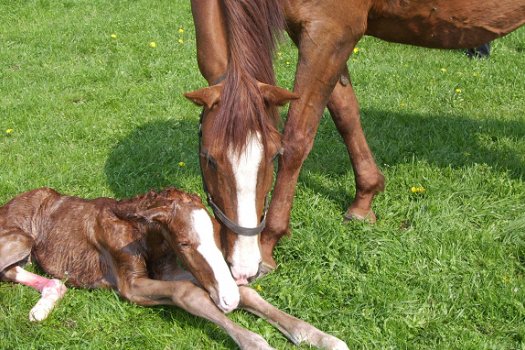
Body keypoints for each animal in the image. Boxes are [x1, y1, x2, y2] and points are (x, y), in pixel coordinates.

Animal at [0, 187, 348, 348]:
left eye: (216, 237)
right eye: (184, 243)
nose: (228, 301)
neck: (141, 233)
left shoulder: (168, 270)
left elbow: (247, 293)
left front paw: (319, 337)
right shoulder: (130, 284)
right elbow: (188, 294)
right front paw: (256, 342)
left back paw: (42, 308)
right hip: (19, 239)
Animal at [185, 0, 524, 284]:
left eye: (271, 157)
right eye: (209, 159)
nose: (243, 267)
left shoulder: (330, 30)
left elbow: (297, 138)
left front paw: (269, 242)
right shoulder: (320, 34)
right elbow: (345, 112)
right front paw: (365, 199)